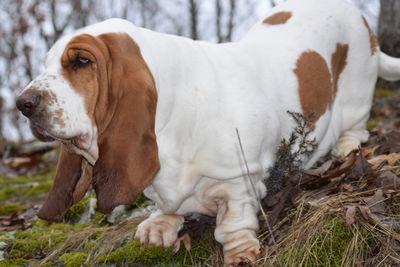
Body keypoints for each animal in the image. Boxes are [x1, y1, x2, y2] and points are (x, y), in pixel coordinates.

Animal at [16, 0, 400, 264]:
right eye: (47, 63)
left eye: (82, 61)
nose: (23, 103)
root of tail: (361, 19)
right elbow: (165, 206)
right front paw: (158, 227)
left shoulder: (239, 179)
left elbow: (232, 223)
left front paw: (241, 254)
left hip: (356, 93)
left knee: (355, 127)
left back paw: (345, 149)